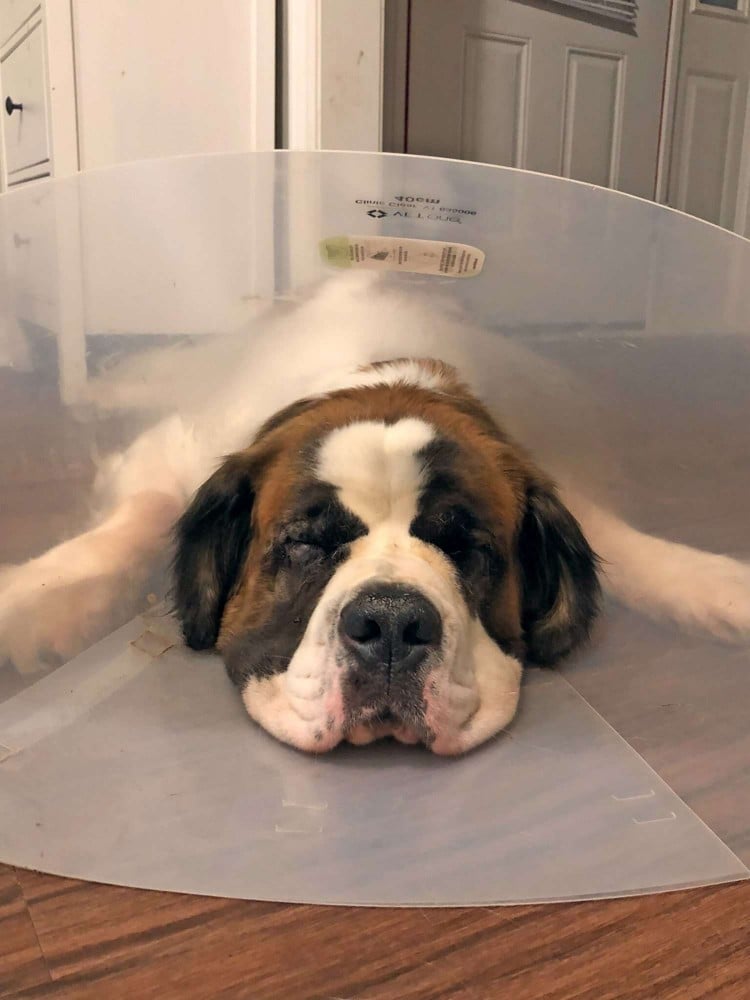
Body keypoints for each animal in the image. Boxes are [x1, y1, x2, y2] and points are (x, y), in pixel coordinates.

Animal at [1, 270, 750, 752]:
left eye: (467, 549)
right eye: (307, 544)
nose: (391, 623)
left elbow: (614, 537)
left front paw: (716, 586)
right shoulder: (179, 451)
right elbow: (142, 514)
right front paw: (30, 600)